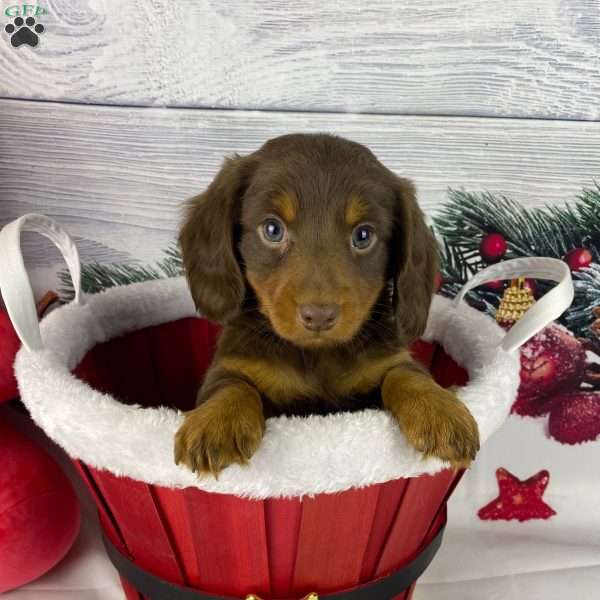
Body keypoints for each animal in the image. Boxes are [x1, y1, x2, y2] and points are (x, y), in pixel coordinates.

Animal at [173, 134, 478, 476]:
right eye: (272, 229)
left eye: (363, 235)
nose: (319, 316)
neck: (316, 355)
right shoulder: (232, 364)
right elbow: (231, 385)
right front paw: (217, 421)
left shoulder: (387, 361)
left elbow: (406, 374)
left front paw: (439, 409)